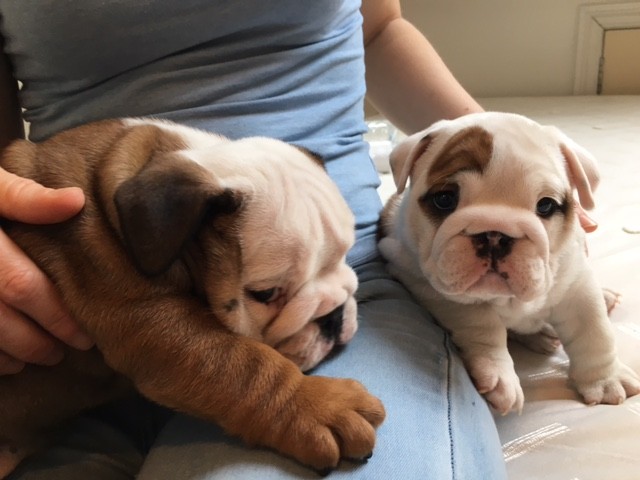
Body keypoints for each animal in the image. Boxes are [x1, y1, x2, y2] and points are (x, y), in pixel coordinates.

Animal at [0, 119, 384, 476]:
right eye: (265, 293)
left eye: (344, 255)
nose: (334, 317)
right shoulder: (147, 319)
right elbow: (244, 366)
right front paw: (318, 405)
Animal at [380, 111, 640, 412]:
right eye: (444, 199)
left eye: (546, 205)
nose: (494, 235)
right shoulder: (429, 285)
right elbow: (482, 325)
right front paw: (499, 375)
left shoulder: (577, 286)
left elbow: (594, 332)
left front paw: (606, 379)